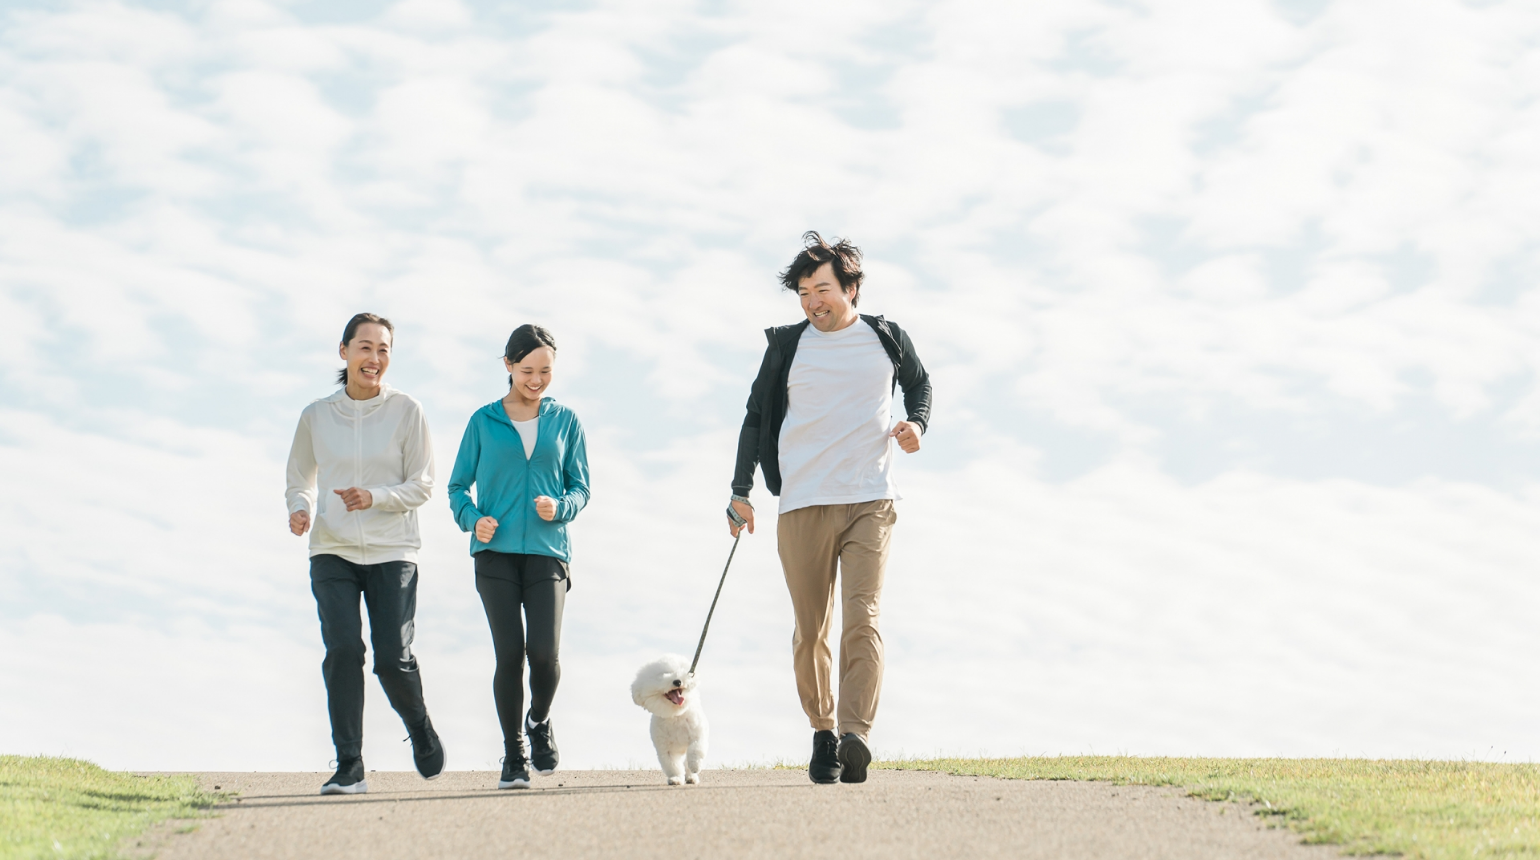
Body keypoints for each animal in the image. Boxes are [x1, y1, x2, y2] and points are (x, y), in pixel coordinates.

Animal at [628, 653, 705, 789]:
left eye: (678, 671)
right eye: (662, 675)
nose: (677, 681)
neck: (675, 715)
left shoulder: (697, 735)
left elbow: (696, 749)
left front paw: (695, 765)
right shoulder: (665, 749)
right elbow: (672, 765)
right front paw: (676, 779)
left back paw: (691, 777)